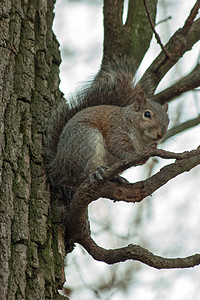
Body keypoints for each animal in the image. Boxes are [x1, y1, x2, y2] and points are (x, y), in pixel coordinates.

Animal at [43, 58, 169, 189]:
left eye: (168, 120)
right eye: (147, 114)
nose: (160, 134)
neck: (141, 139)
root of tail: (57, 166)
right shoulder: (116, 128)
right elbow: (117, 145)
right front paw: (133, 156)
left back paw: (116, 178)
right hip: (85, 141)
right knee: (79, 175)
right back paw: (95, 173)